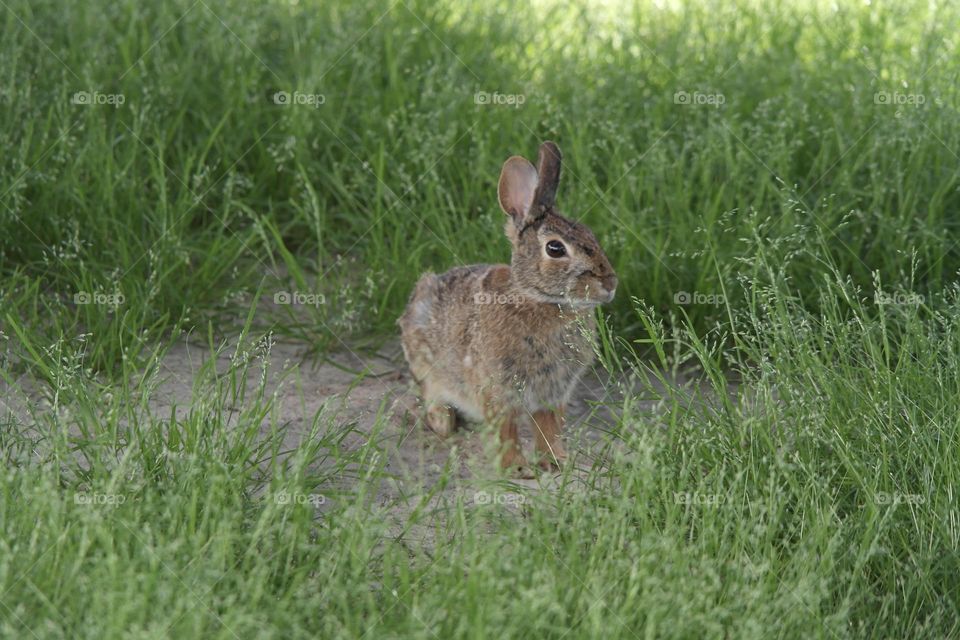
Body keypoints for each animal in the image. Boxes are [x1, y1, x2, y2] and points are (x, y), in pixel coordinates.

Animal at [398, 141, 617, 478]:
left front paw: (556, 463)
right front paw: (516, 469)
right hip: (428, 369)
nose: (610, 283)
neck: (538, 299)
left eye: (590, 233)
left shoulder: (553, 393)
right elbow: (507, 432)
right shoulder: (497, 391)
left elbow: (549, 429)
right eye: (555, 248)